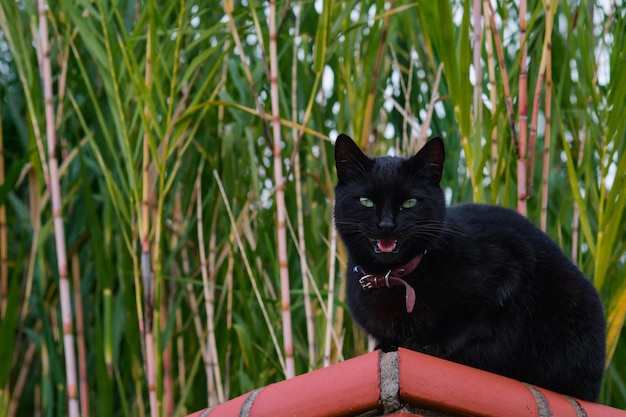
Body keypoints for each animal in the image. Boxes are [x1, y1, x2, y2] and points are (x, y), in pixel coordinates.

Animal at [334, 133, 604, 400]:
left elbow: (467, 320)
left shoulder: (512, 263)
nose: (387, 225)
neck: (394, 276)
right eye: (366, 201)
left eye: (410, 202)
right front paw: (390, 344)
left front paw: (426, 342)